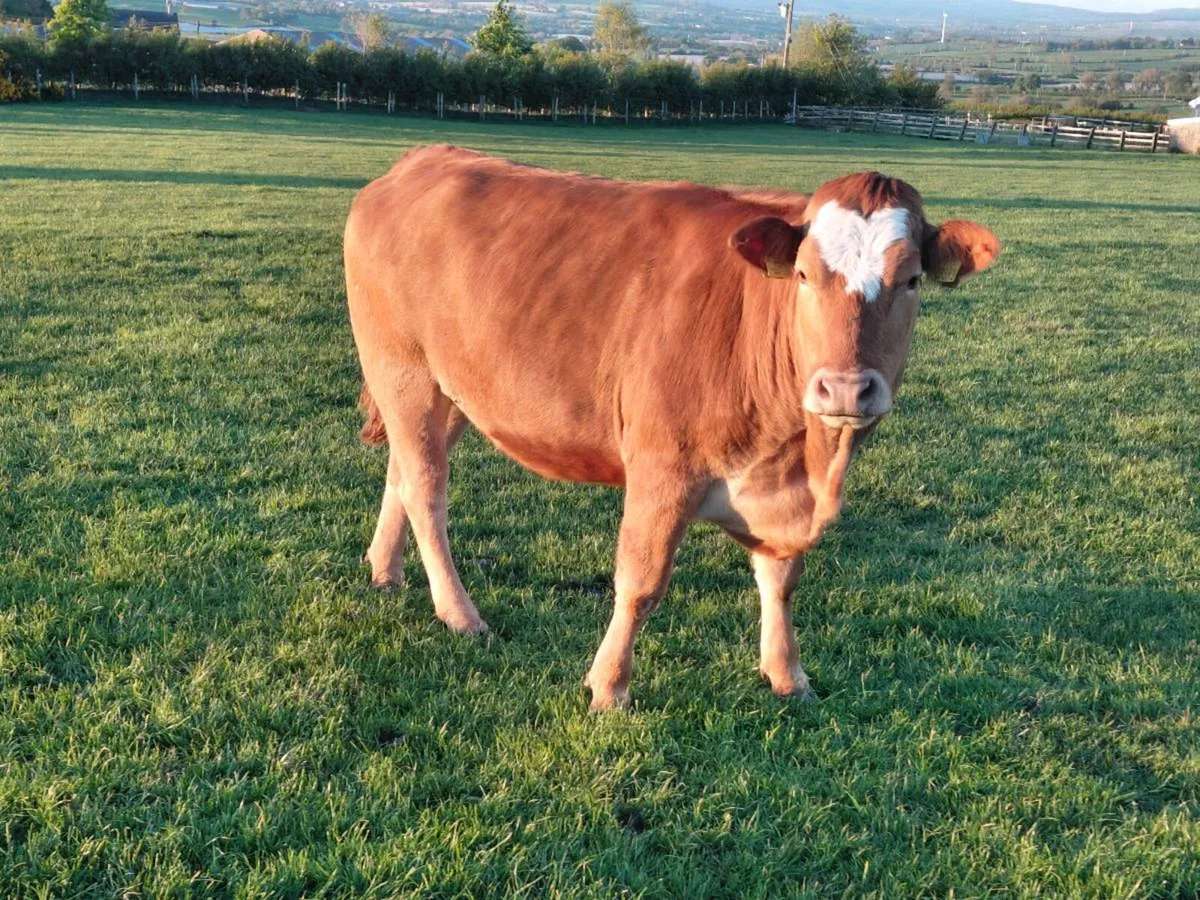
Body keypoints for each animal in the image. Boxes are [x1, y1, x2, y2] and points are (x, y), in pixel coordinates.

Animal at [344, 145, 1000, 710]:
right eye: (805, 276)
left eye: (910, 280)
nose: (843, 388)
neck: (801, 458)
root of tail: (422, 159)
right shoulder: (662, 466)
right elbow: (641, 582)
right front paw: (609, 686)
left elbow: (781, 579)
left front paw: (788, 674)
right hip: (402, 369)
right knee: (426, 490)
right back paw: (460, 613)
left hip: (451, 387)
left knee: (403, 471)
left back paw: (385, 570)